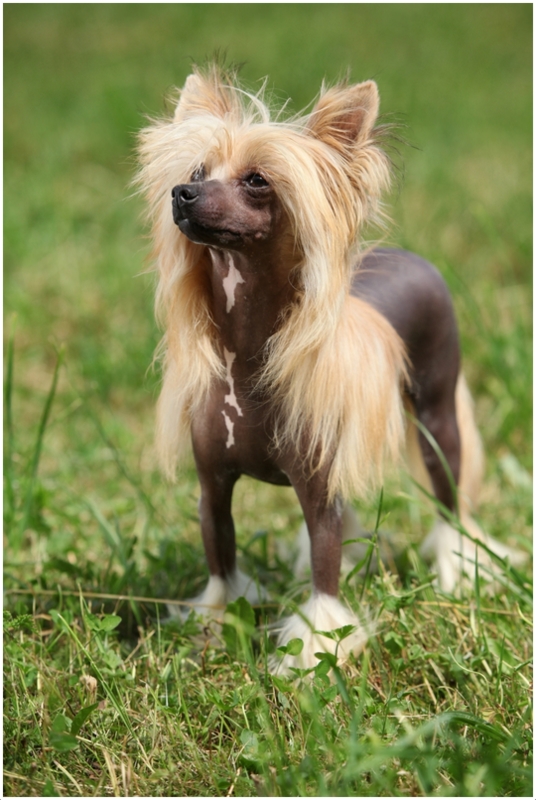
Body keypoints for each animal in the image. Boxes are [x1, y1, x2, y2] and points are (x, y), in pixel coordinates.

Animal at [136, 64, 520, 676]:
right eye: (197, 172)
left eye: (257, 180)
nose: (183, 193)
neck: (248, 362)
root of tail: (405, 254)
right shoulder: (212, 485)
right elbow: (221, 559)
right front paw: (213, 628)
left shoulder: (319, 489)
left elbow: (325, 567)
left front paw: (316, 648)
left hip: (438, 416)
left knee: (448, 498)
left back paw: (459, 566)